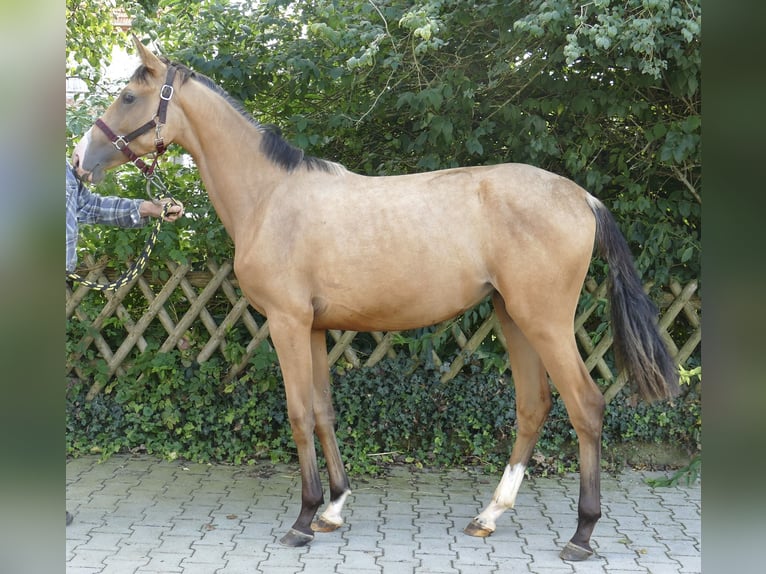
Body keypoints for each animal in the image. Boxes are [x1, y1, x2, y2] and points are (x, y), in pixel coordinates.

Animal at [72, 37, 680, 564]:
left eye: (129, 97)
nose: (81, 162)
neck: (270, 195)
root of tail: (580, 196)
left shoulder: (287, 323)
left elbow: (298, 414)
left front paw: (303, 519)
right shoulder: (313, 328)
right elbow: (322, 411)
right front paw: (334, 509)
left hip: (546, 321)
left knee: (586, 405)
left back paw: (581, 533)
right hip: (514, 317)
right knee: (534, 405)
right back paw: (489, 515)